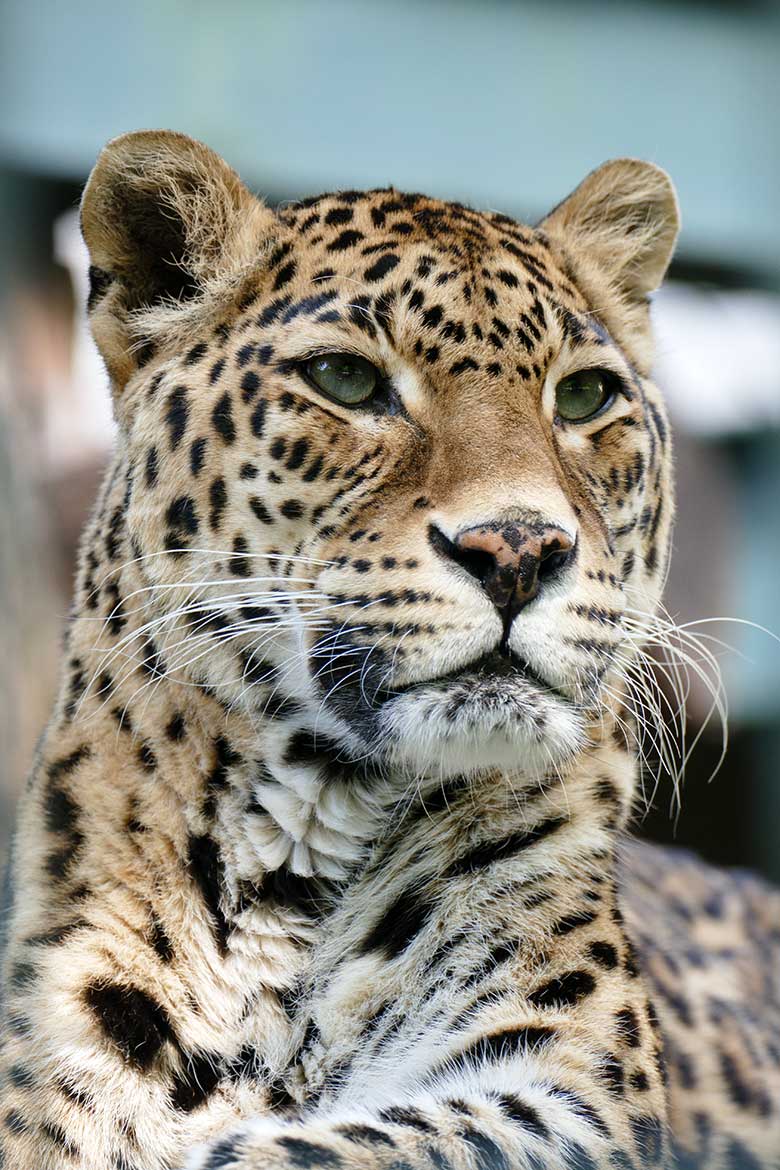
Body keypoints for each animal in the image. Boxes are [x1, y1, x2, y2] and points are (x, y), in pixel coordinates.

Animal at [1, 128, 780, 1170]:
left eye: (584, 395)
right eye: (345, 381)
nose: (519, 550)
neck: (292, 877)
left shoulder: (570, 1093)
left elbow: (342, 1145)